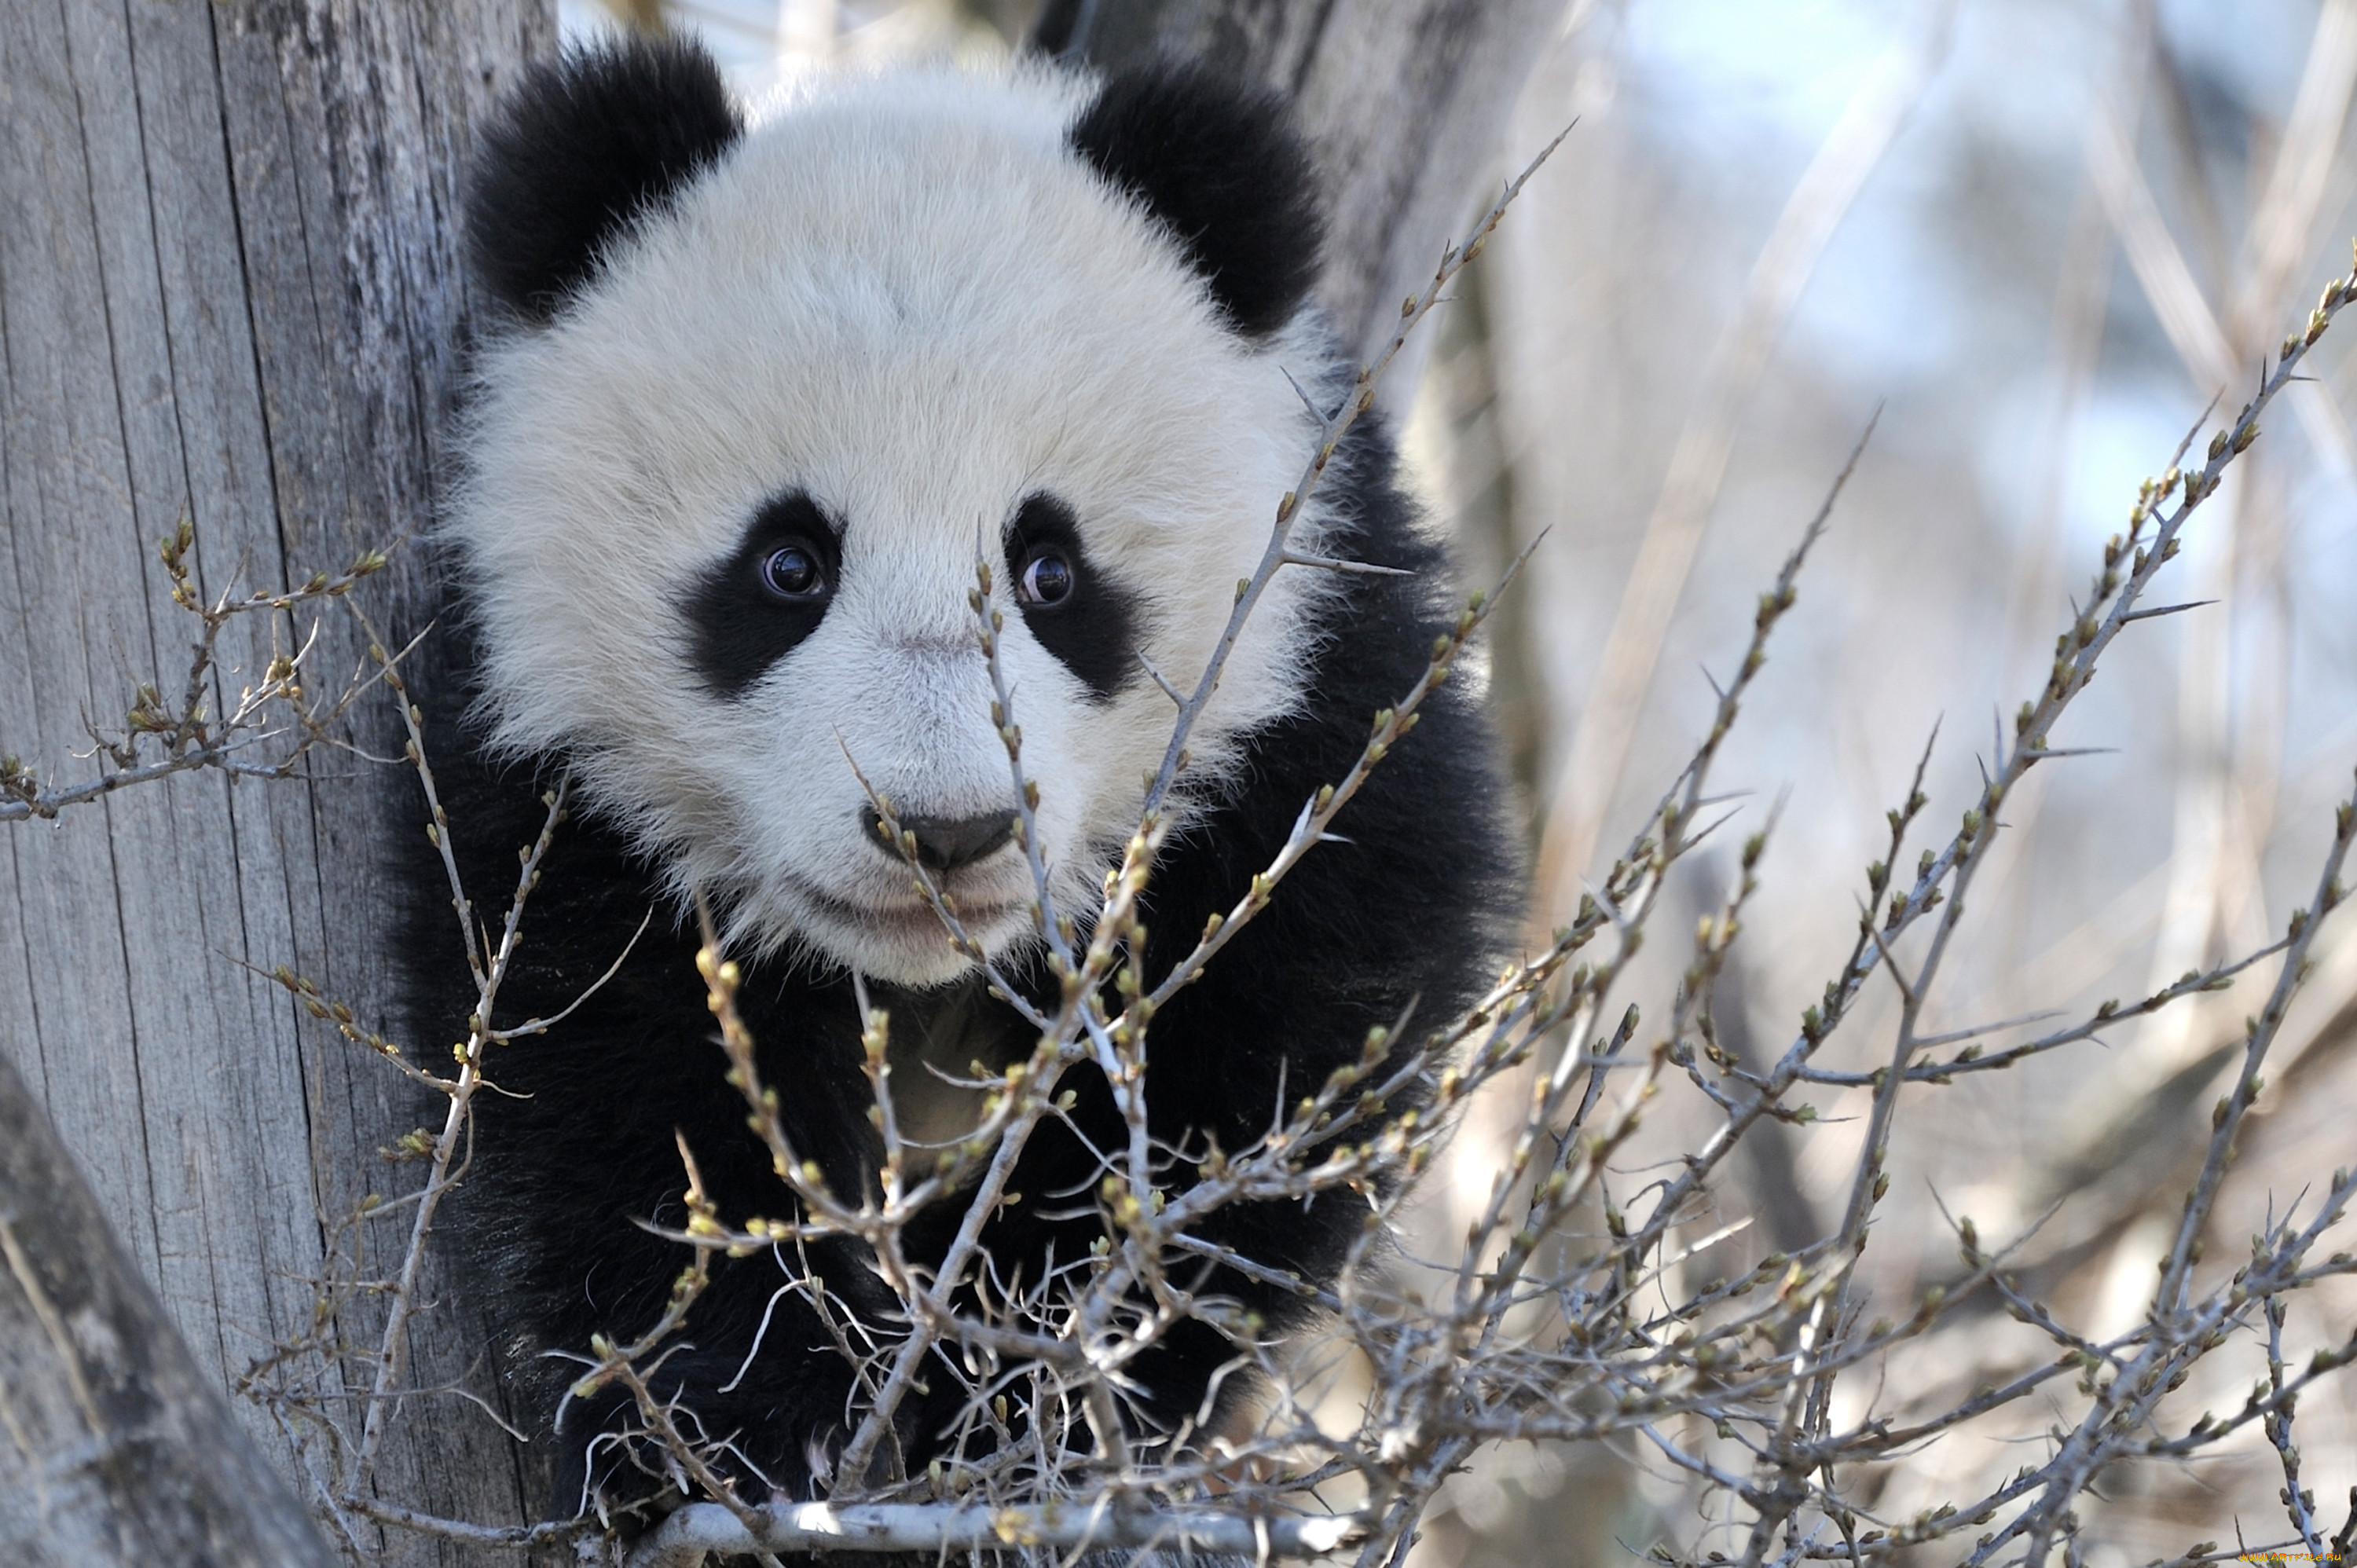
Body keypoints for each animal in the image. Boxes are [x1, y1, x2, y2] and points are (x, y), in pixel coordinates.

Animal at [412, 31, 1518, 1518]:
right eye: (789, 565)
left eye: (1053, 573)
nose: (943, 832)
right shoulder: (548, 768)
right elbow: (604, 1076)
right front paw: (758, 1413)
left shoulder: (1316, 680)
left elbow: (1271, 1054)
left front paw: (1007, 1399)